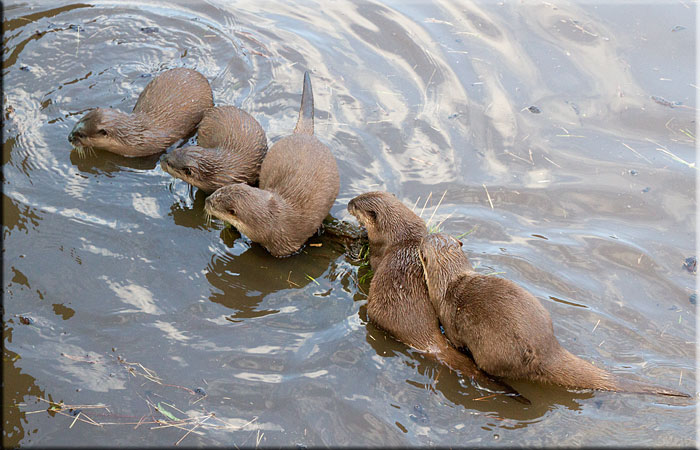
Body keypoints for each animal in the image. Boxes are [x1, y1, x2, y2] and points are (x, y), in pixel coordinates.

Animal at [204, 71, 339, 257]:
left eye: (214, 203)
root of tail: (306, 135)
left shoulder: (285, 246)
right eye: (216, 192)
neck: (273, 223)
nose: (206, 201)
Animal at [347, 191, 529, 403]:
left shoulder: (378, 249)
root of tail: (422, 333)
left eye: (357, 205)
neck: (405, 236)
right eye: (359, 197)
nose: (348, 203)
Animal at [418, 232, 690, 398]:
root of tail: (549, 352)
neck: (452, 281)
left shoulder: (448, 316)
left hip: (495, 353)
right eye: (432, 236)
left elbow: (453, 337)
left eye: (422, 246)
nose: (424, 234)